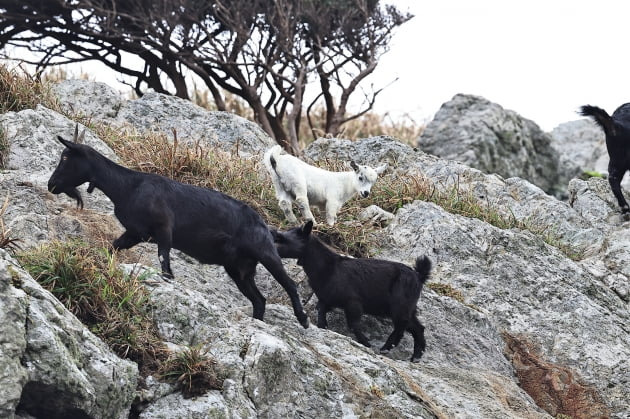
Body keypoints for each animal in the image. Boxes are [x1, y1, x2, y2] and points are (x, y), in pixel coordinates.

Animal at [46, 130, 308, 330]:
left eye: (66, 157)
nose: (51, 184)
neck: (128, 186)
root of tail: (264, 225)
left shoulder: (164, 229)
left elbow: (165, 262)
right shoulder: (135, 233)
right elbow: (113, 248)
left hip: (265, 252)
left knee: (289, 284)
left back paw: (303, 319)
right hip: (239, 268)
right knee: (259, 300)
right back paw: (257, 323)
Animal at [274, 221, 432, 362]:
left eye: (282, 239)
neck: (329, 268)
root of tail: (419, 276)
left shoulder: (353, 302)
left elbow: (353, 324)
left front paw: (366, 343)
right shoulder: (326, 298)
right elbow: (321, 313)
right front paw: (322, 327)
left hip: (399, 304)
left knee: (401, 325)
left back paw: (386, 348)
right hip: (407, 307)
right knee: (418, 327)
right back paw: (416, 356)